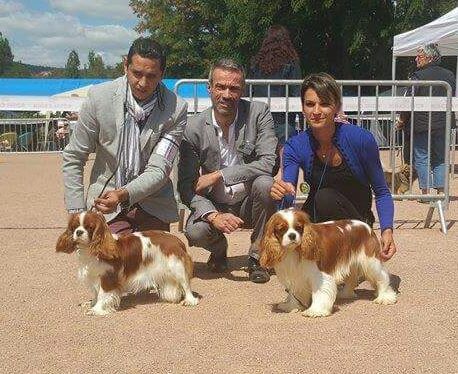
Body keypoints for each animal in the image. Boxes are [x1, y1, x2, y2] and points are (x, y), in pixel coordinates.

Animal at [260, 209, 396, 318]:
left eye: (298, 227)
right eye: (282, 229)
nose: (292, 235)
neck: (293, 251)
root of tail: (366, 226)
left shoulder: (319, 275)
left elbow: (318, 293)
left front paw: (315, 310)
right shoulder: (295, 275)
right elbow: (293, 293)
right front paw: (291, 306)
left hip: (371, 262)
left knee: (382, 277)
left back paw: (385, 297)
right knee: (351, 279)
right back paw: (346, 294)